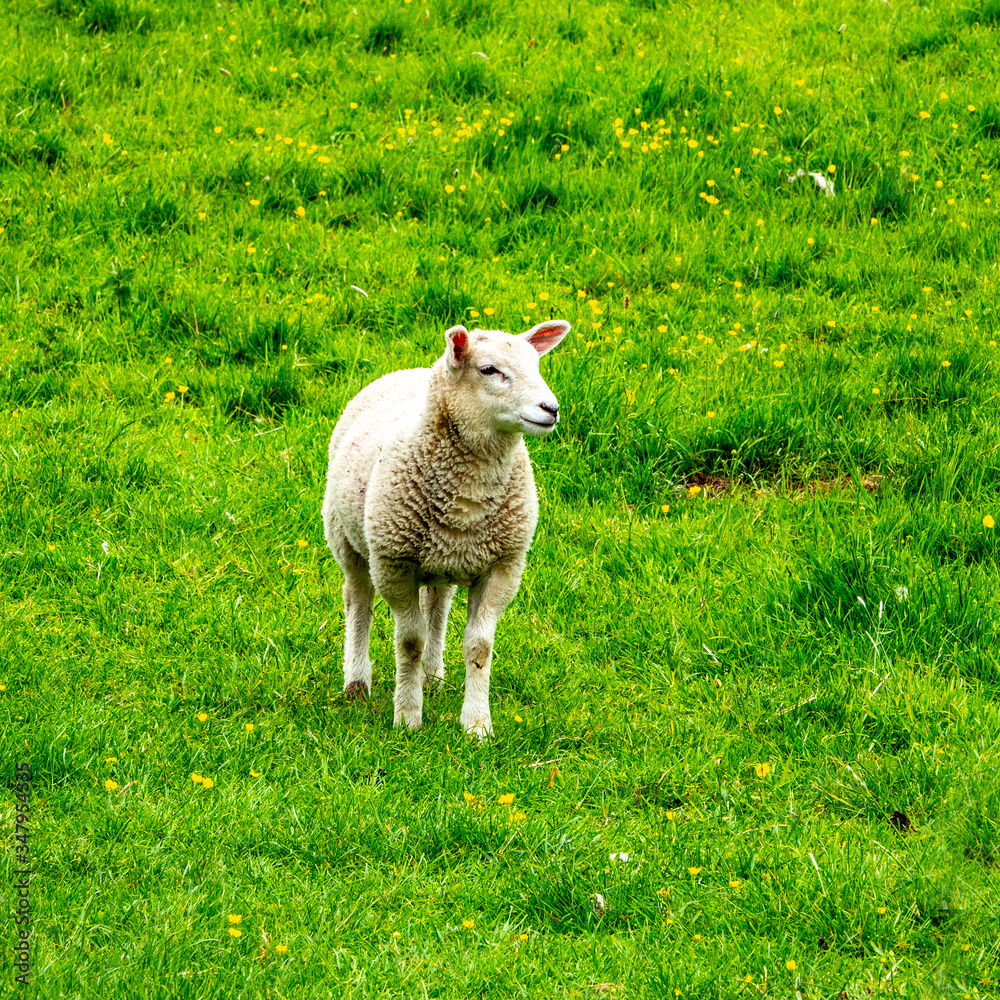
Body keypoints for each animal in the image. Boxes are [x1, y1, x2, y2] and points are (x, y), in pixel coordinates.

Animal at [321, 319, 570, 739]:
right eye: (489, 370)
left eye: (536, 366)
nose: (550, 409)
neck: (469, 495)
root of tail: (407, 370)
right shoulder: (393, 563)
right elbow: (409, 641)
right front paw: (407, 718)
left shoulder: (503, 566)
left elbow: (479, 647)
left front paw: (477, 725)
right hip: (347, 539)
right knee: (358, 601)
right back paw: (357, 681)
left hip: (444, 559)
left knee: (436, 605)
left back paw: (432, 676)